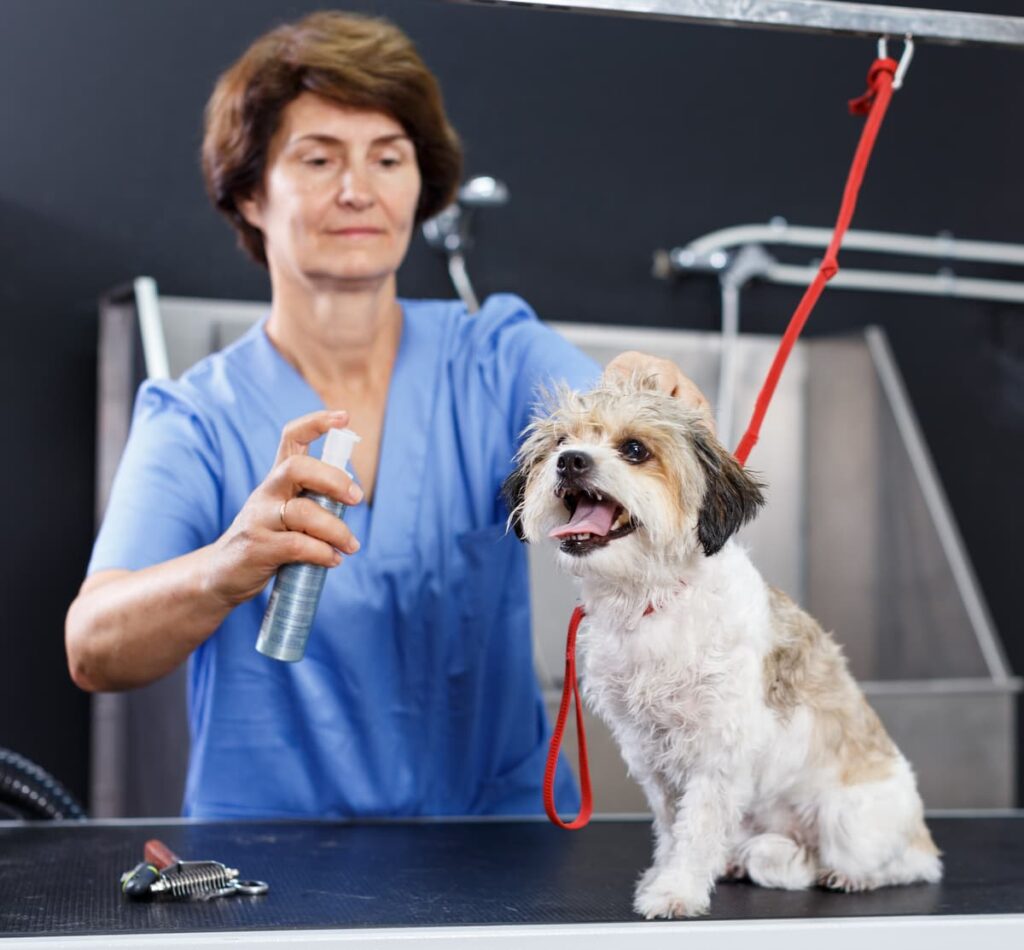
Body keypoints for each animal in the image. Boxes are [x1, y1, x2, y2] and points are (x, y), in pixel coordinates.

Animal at [499, 376, 937, 921]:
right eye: (561, 441)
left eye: (634, 449)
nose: (570, 461)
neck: (653, 600)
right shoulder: (652, 756)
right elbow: (674, 828)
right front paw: (665, 875)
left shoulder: (719, 751)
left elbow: (699, 827)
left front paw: (676, 891)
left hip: (849, 820)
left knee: (909, 864)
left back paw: (852, 874)